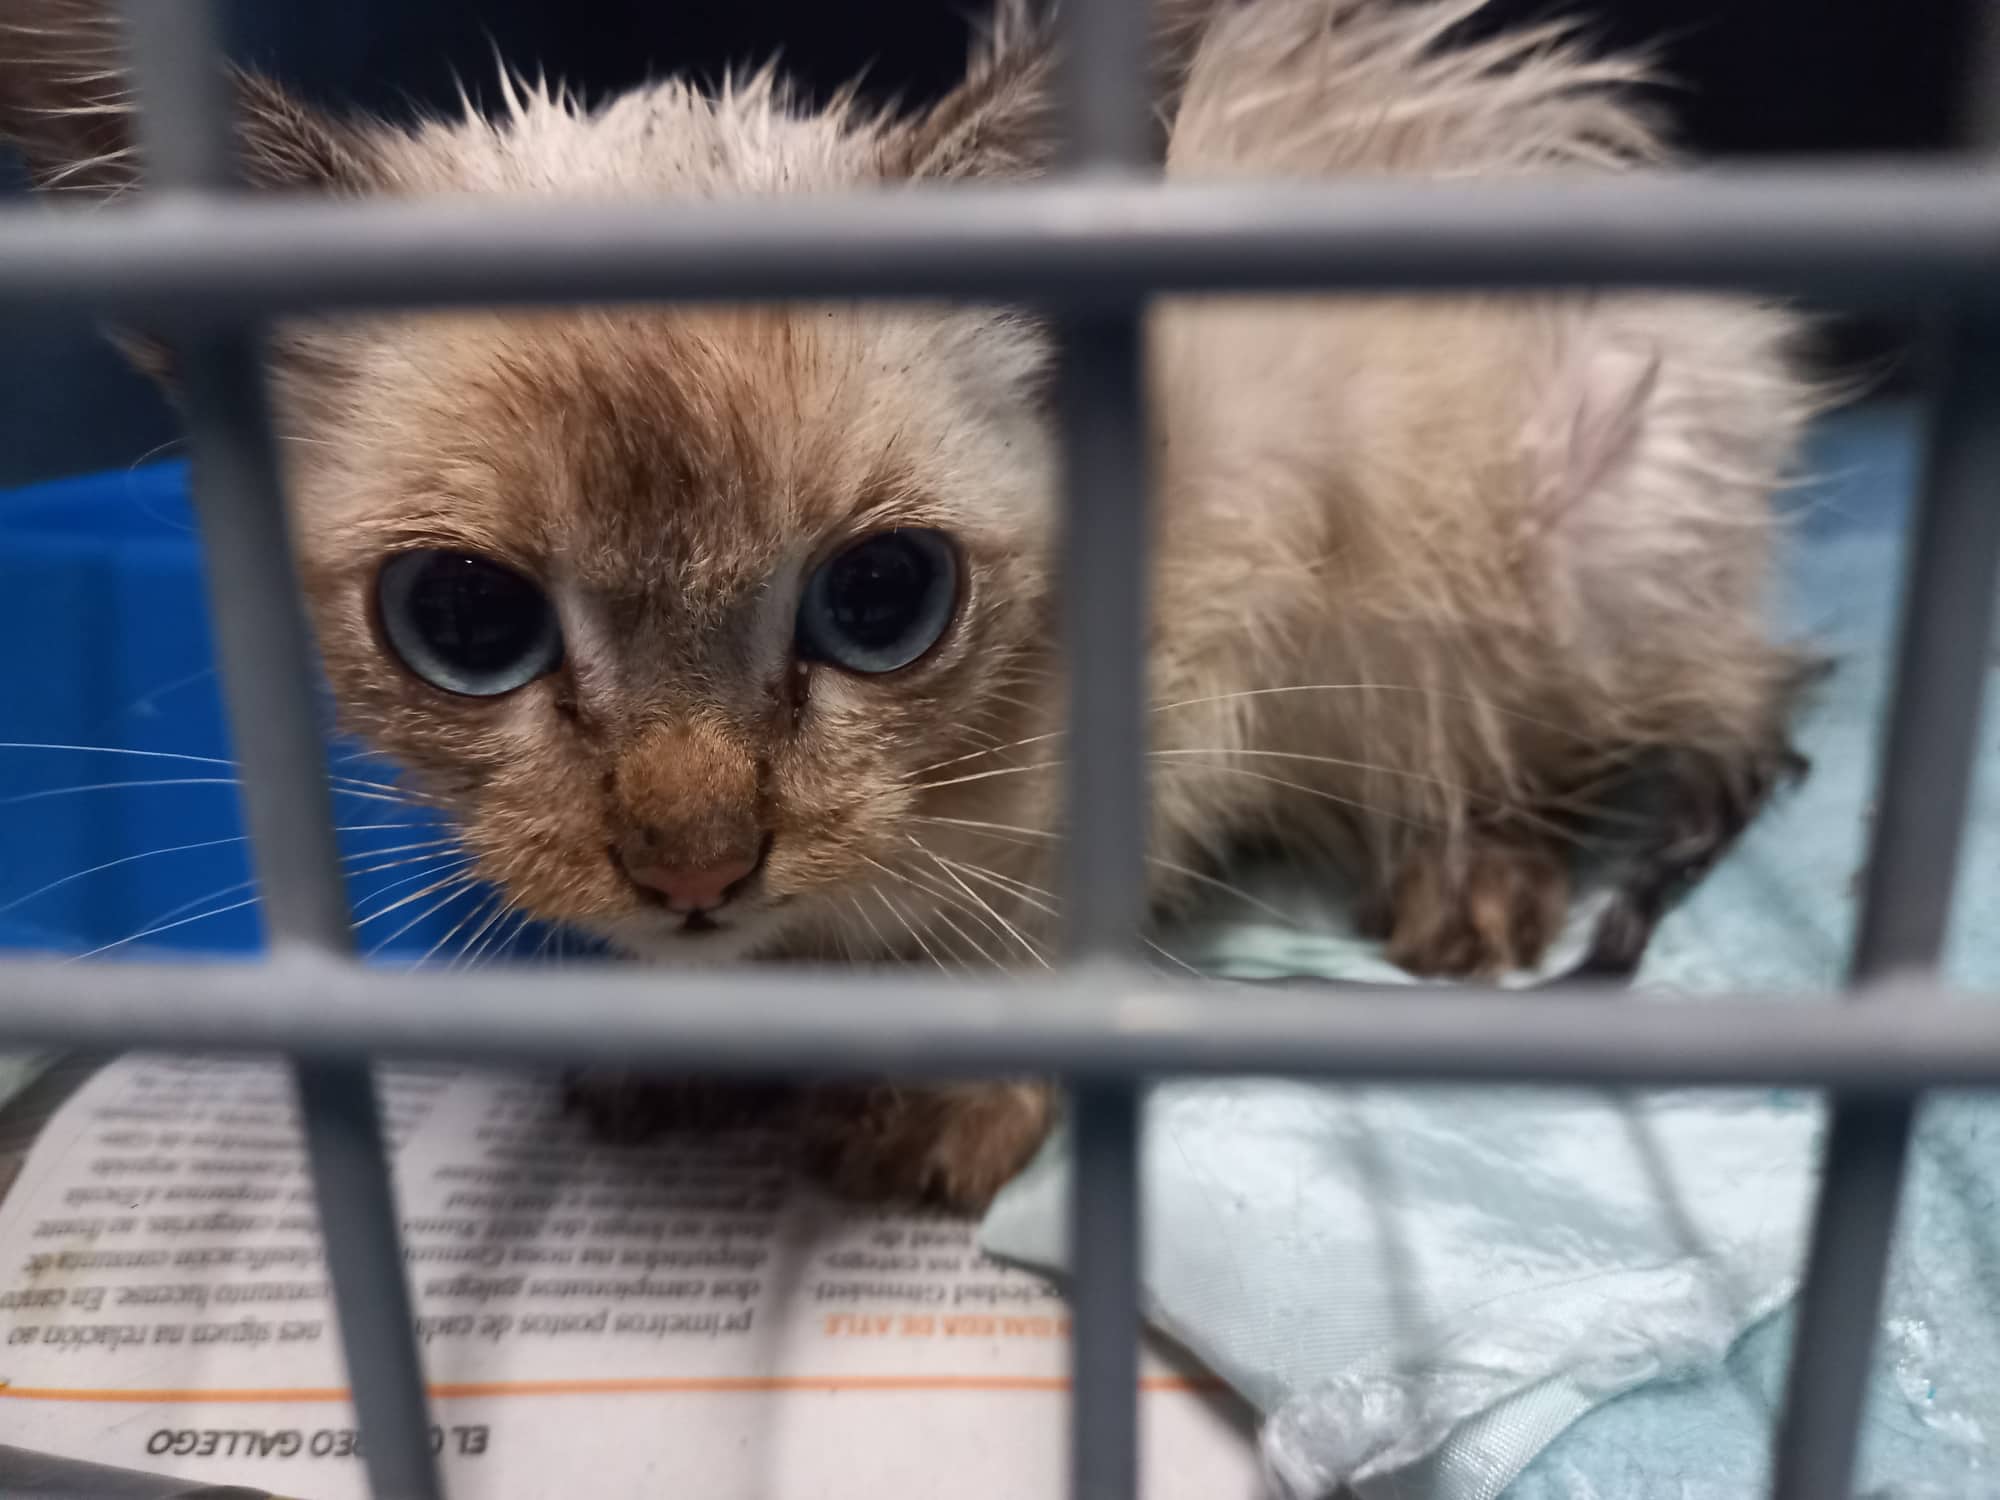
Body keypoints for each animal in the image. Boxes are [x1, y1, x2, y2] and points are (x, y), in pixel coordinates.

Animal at [0, 0, 1821, 1207]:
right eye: (465, 621)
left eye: (882, 599)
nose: (692, 870)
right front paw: (665, 1032)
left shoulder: (1187, 673)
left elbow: (1039, 938)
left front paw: (942, 1098)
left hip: (1592, 512)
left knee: (1649, 722)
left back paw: (1476, 877)